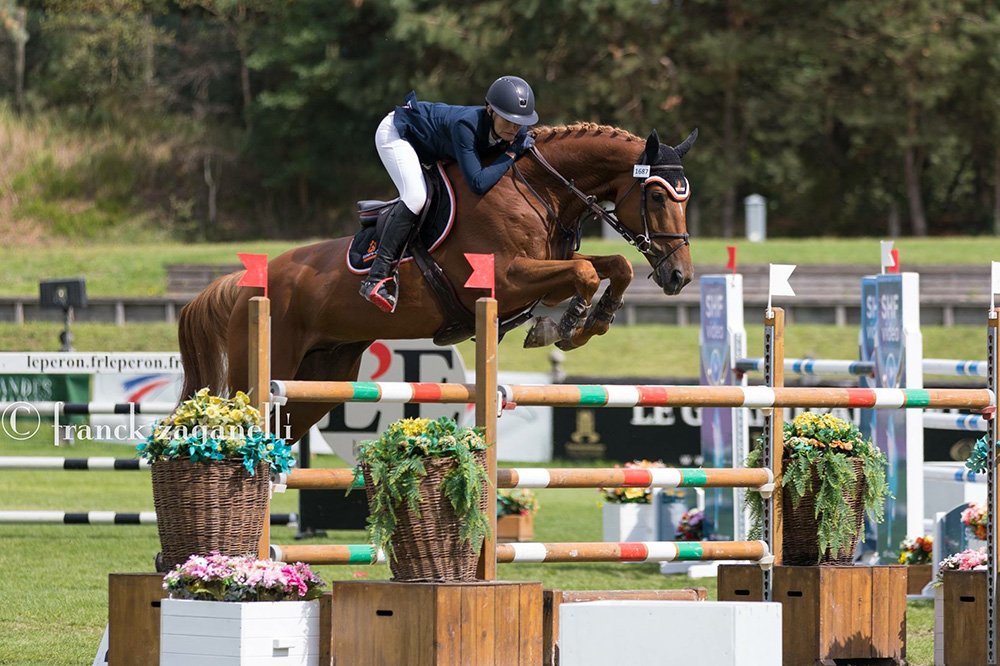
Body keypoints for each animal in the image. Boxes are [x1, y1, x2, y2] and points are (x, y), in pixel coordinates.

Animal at [180, 122, 696, 440]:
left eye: (685, 197)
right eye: (655, 195)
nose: (679, 276)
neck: (539, 190)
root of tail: (245, 283)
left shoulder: (546, 272)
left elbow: (614, 266)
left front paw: (593, 321)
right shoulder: (505, 278)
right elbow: (586, 273)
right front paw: (564, 326)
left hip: (323, 376)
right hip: (265, 368)